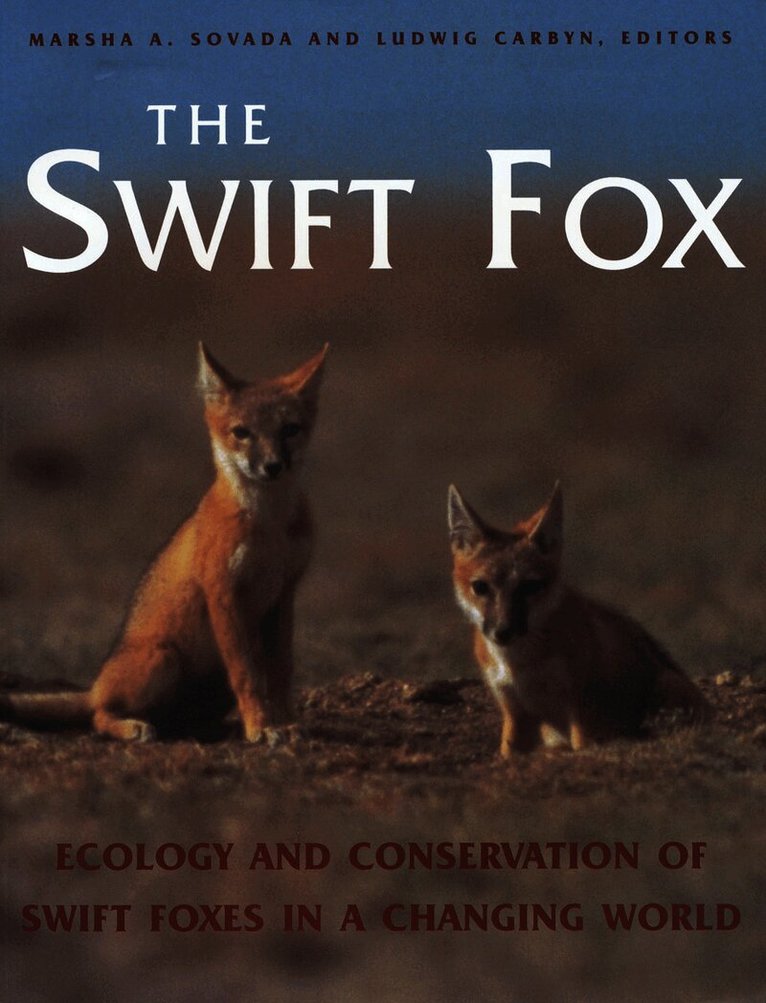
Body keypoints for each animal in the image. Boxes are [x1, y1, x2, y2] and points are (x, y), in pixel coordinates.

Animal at [1, 343, 328, 743]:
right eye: (241, 433)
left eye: (289, 430)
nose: (272, 466)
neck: (270, 526)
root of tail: (95, 684)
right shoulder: (224, 593)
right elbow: (247, 675)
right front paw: (260, 727)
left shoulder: (283, 594)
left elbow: (280, 672)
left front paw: (284, 721)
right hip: (163, 660)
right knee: (98, 715)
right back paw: (133, 727)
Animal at [447, 482, 709, 758]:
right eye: (480, 587)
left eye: (529, 587)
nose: (503, 631)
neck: (520, 665)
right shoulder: (514, 711)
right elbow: (508, 754)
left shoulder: (579, 709)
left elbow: (581, 746)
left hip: (666, 686)